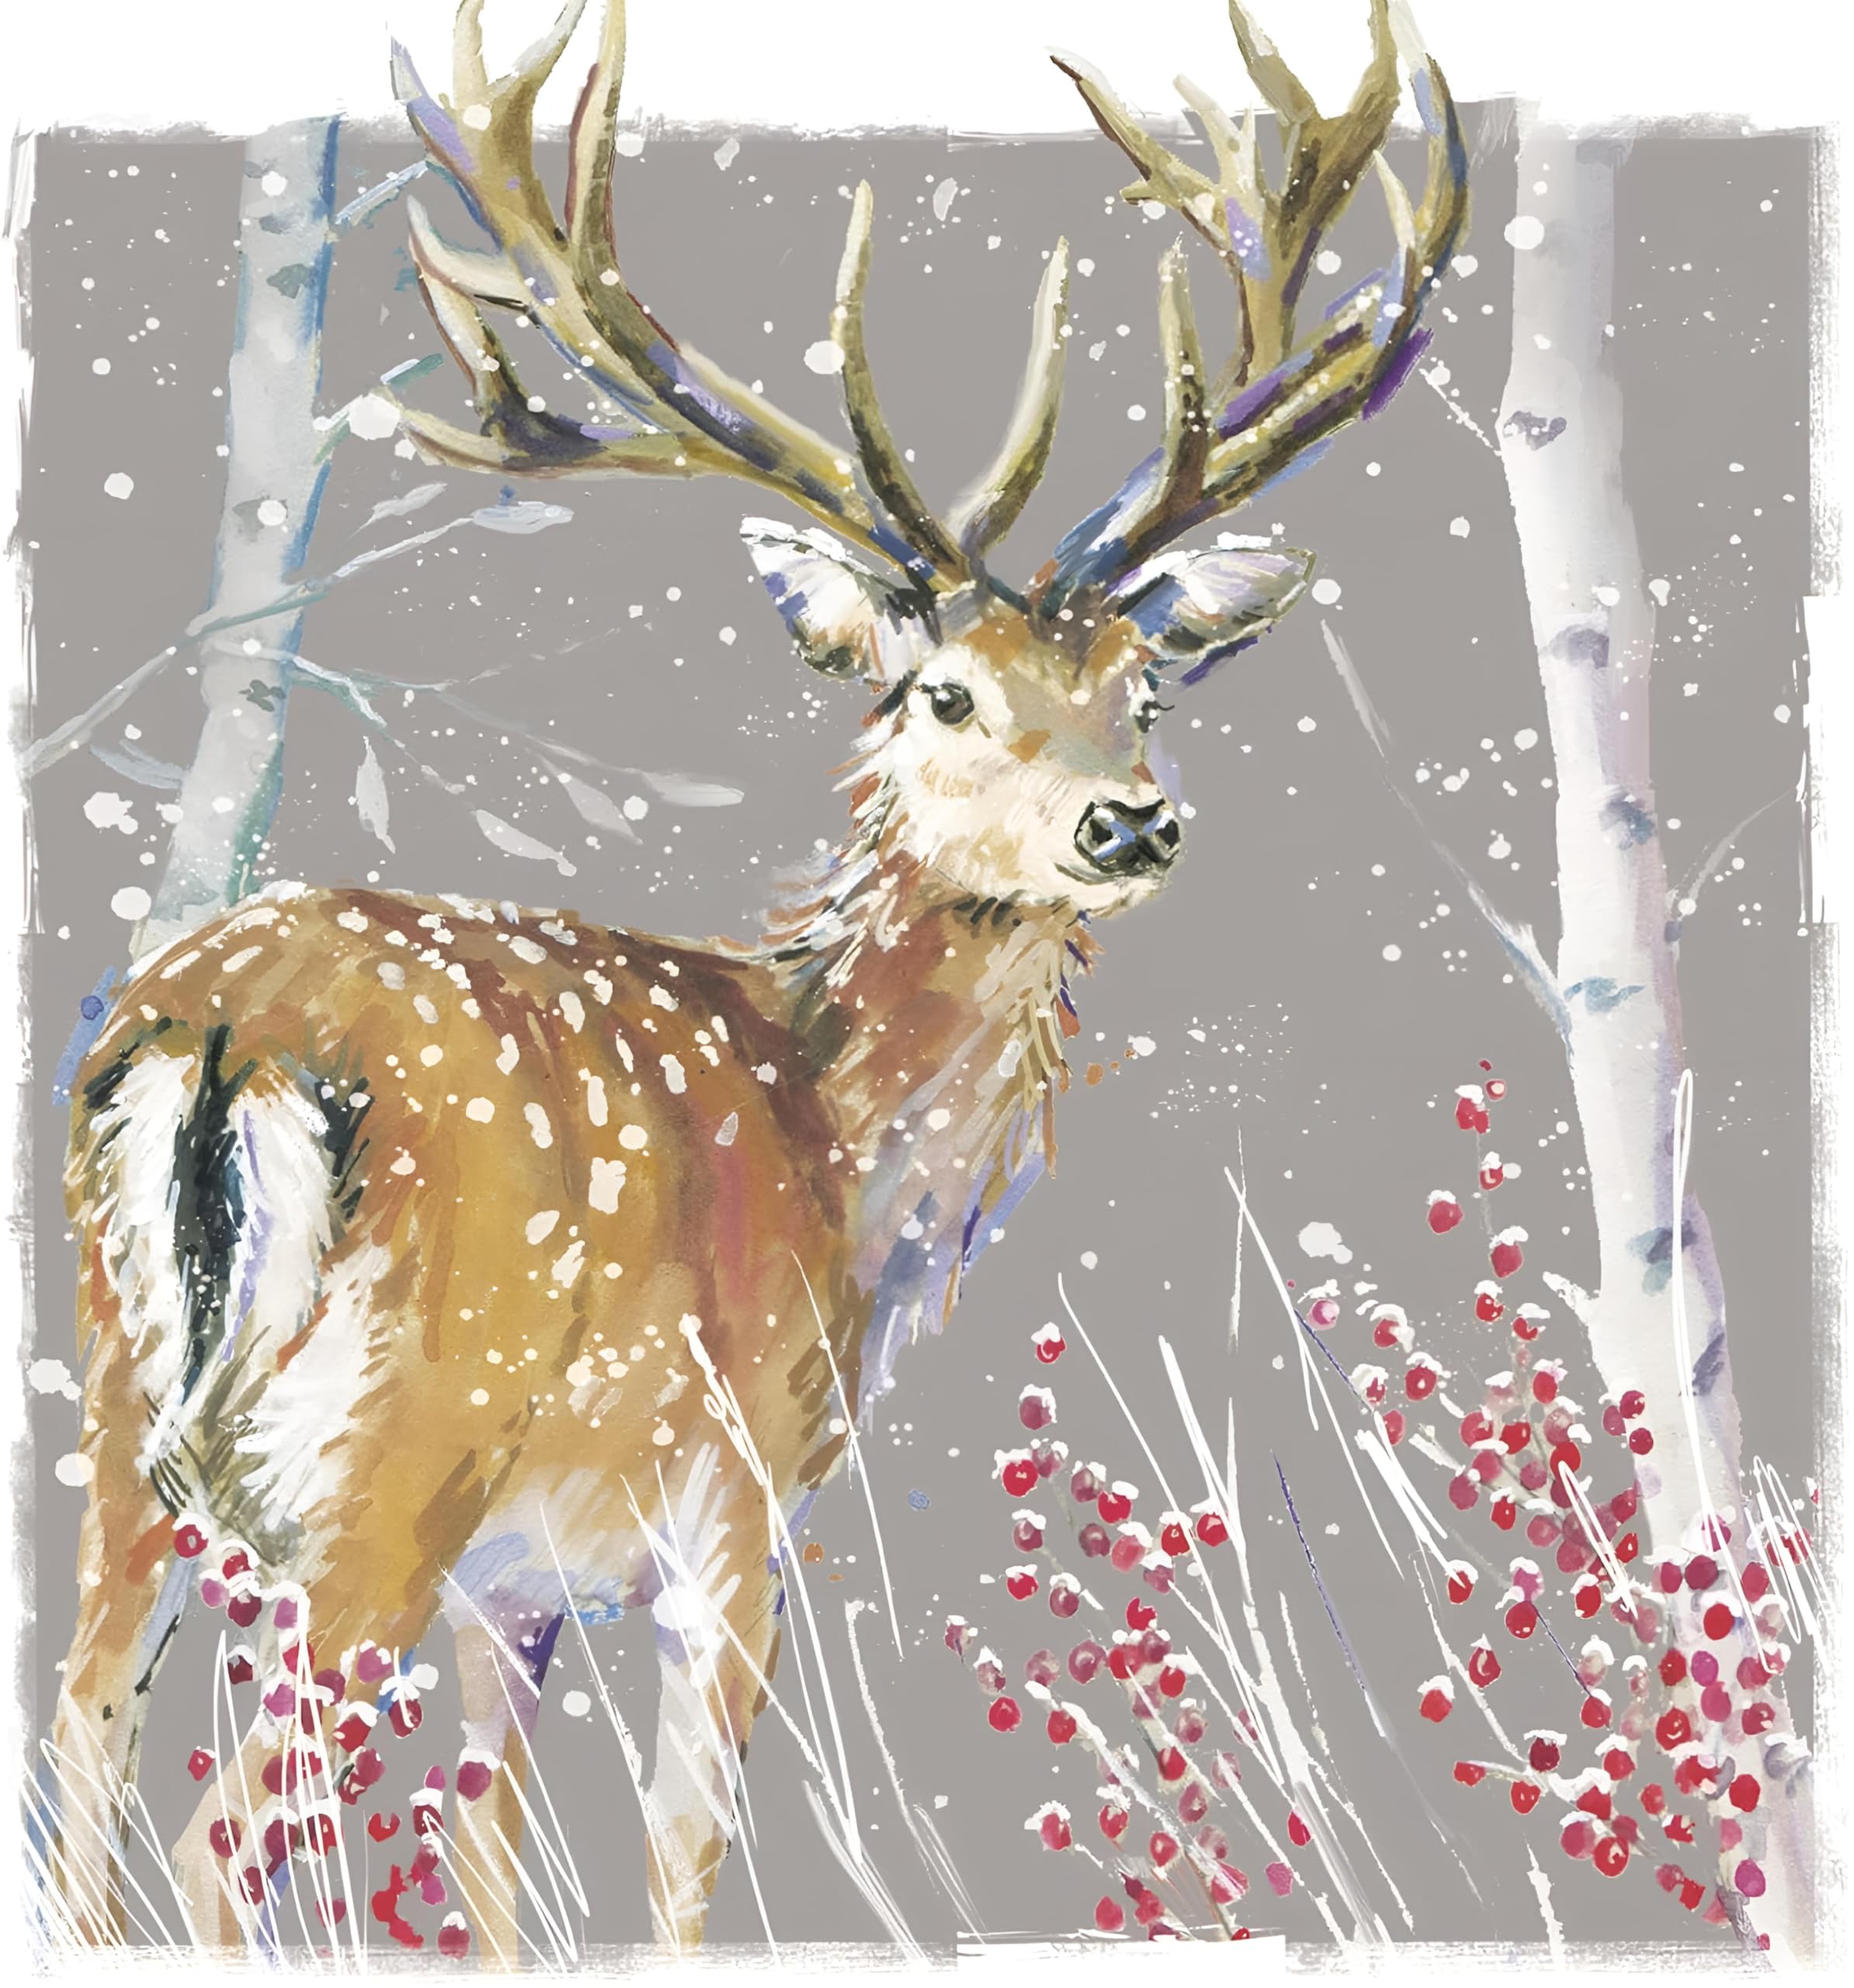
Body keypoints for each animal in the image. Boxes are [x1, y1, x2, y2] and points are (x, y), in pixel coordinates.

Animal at [45, 0, 1464, 1959]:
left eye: (1146, 685)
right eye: (943, 688)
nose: (1132, 818)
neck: (844, 1148)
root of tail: (223, 1032)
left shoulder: (522, 1580)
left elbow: (496, 1870)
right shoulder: (735, 1498)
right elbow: (675, 1858)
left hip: (124, 1428)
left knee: (76, 1775)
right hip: (398, 1462)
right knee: (216, 1840)